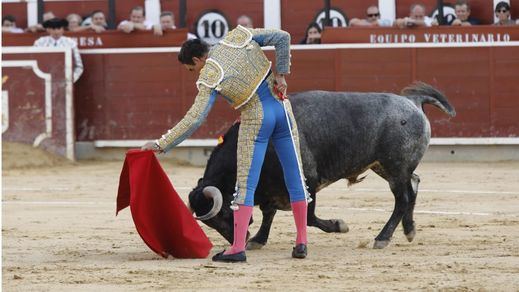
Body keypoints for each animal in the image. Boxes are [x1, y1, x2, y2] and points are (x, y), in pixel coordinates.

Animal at [189, 81, 458, 249]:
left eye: (224, 214)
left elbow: (308, 216)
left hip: (396, 167)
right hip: (386, 167)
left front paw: (339, 226)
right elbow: (269, 213)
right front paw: (258, 239)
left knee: (402, 198)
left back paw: (382, 238)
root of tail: (411, 101)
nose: (240, 238)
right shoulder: (270, 188)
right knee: (414, 185)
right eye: (210, 223)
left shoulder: (307, 180)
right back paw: (409, 230)